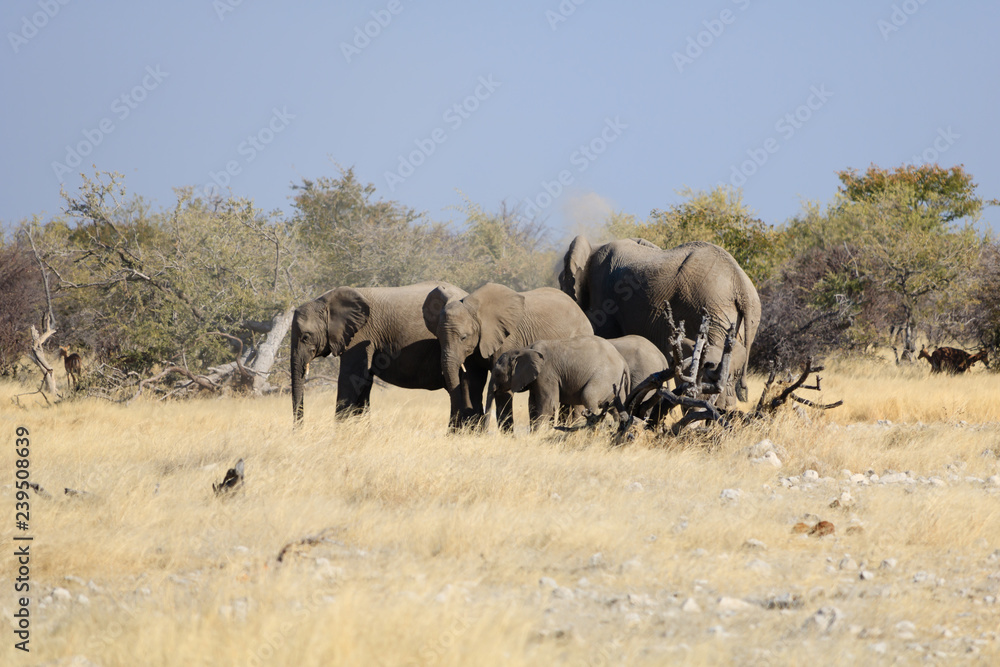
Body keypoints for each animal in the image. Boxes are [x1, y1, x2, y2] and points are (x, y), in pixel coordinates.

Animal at [291, 281, 469, 423]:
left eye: (305, 337)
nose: (298, 431)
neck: (325, 301)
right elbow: (363, 385)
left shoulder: (360, 335)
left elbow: (350, 380)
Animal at [423, 282, 593, 430]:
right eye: (438, 338)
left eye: (463, 337)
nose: (483, 430)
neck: (479, 311)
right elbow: (472, 381)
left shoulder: (508, 339)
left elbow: (504, 388)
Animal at [488, 335, 630, 430]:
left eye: (497, 374)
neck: (524, 349)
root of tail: (623, 361)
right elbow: (532, 405)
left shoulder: (546, 373)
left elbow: (549, 405)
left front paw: (538, 435)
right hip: (616, 384)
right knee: (616, 408)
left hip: (605, 376)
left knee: (588, 397)